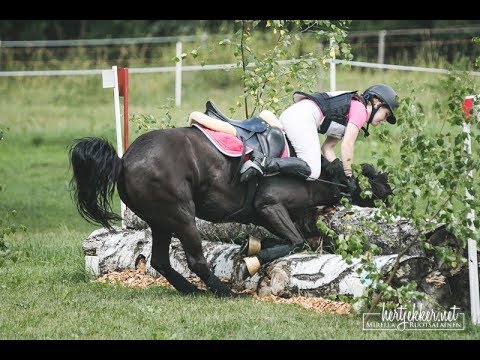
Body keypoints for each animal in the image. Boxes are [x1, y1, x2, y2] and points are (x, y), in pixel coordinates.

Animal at [68, 125, 390, 296]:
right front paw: (253, 260)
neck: (309, 172)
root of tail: (123, 161)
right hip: (181, 215)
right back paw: (223, 292)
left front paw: (254, 246)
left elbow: (292, 239)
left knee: (160, 260)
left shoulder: (270, 215)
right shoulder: (269, 205)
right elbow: (295, 241)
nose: (391, 197)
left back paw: (191, 290)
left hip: (160, 221)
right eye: (377, 182)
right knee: (196, 260)